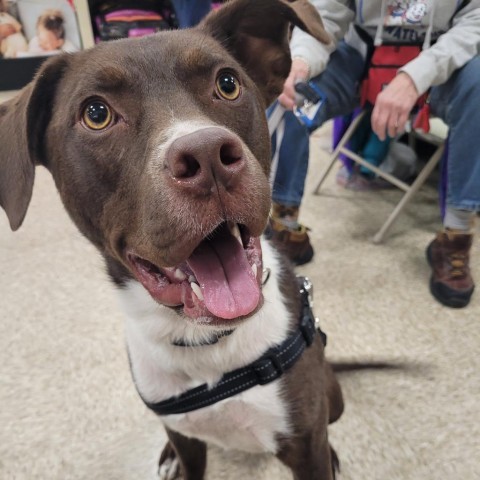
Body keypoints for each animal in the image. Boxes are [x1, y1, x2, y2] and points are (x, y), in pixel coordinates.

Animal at [0, 1, 344, 478]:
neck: (204, 344)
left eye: (227, 83)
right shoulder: (183, 433)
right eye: (96, 113)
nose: (208, 156)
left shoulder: (305, 443)